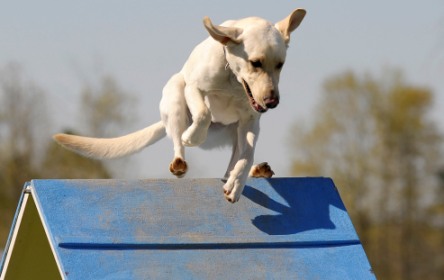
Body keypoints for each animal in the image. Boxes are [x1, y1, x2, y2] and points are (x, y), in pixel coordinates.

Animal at [53, 7, 306, 202]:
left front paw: (237, 184)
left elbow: (247, 156)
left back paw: (255, 171)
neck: (234, 81)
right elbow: (203, 113)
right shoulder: (193, 88)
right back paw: (180, 159)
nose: (272, 102)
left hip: (238, 131)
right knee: (177, 140)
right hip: (175, 94)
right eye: (255, 63)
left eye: (280, 64)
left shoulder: (250, 120)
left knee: (231, 165)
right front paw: (192, 136)